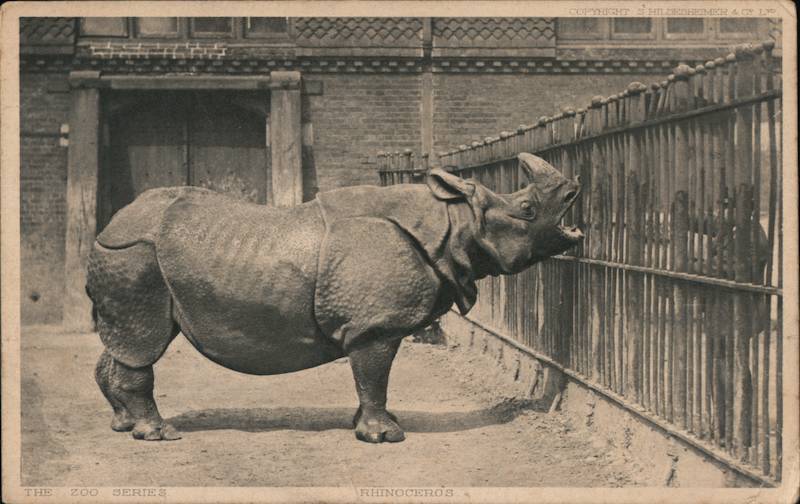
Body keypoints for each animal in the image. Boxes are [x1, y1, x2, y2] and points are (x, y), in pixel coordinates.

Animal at [86, 152, 583, 443]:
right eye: (527, 210)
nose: (575, 188)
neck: (454, 223)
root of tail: (107, 227)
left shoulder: (369, 325)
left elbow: (369, 381)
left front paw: (373, 425)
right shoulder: (376, 325)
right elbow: (375, 376)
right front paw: (386, 437)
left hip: (130, 255)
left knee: (126, 342)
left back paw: (122, 425)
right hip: (136, 255)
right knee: (144, 340)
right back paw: (159, 434)